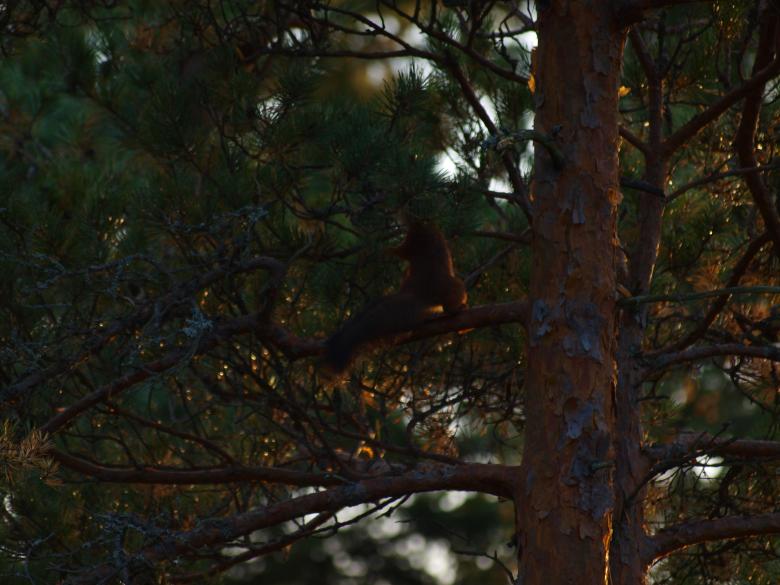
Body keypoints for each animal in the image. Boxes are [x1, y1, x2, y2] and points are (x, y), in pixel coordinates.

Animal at [323, 220, 467, 374]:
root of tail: (417, 292)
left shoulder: (411, 246)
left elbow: (402, 250)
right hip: (453, 288)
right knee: (449, 306)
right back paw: (457, 308)